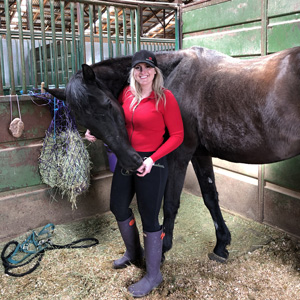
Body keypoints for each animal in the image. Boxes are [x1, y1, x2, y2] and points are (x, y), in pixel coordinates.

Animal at [47, 45, 300, 262]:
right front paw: (221, 245)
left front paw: (162, 249)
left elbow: (170, 202)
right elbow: (210, 197)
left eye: (107, 104)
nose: (132, 161)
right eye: (86, 124)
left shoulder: (179, 154)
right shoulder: (199, 154)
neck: (173, 76)